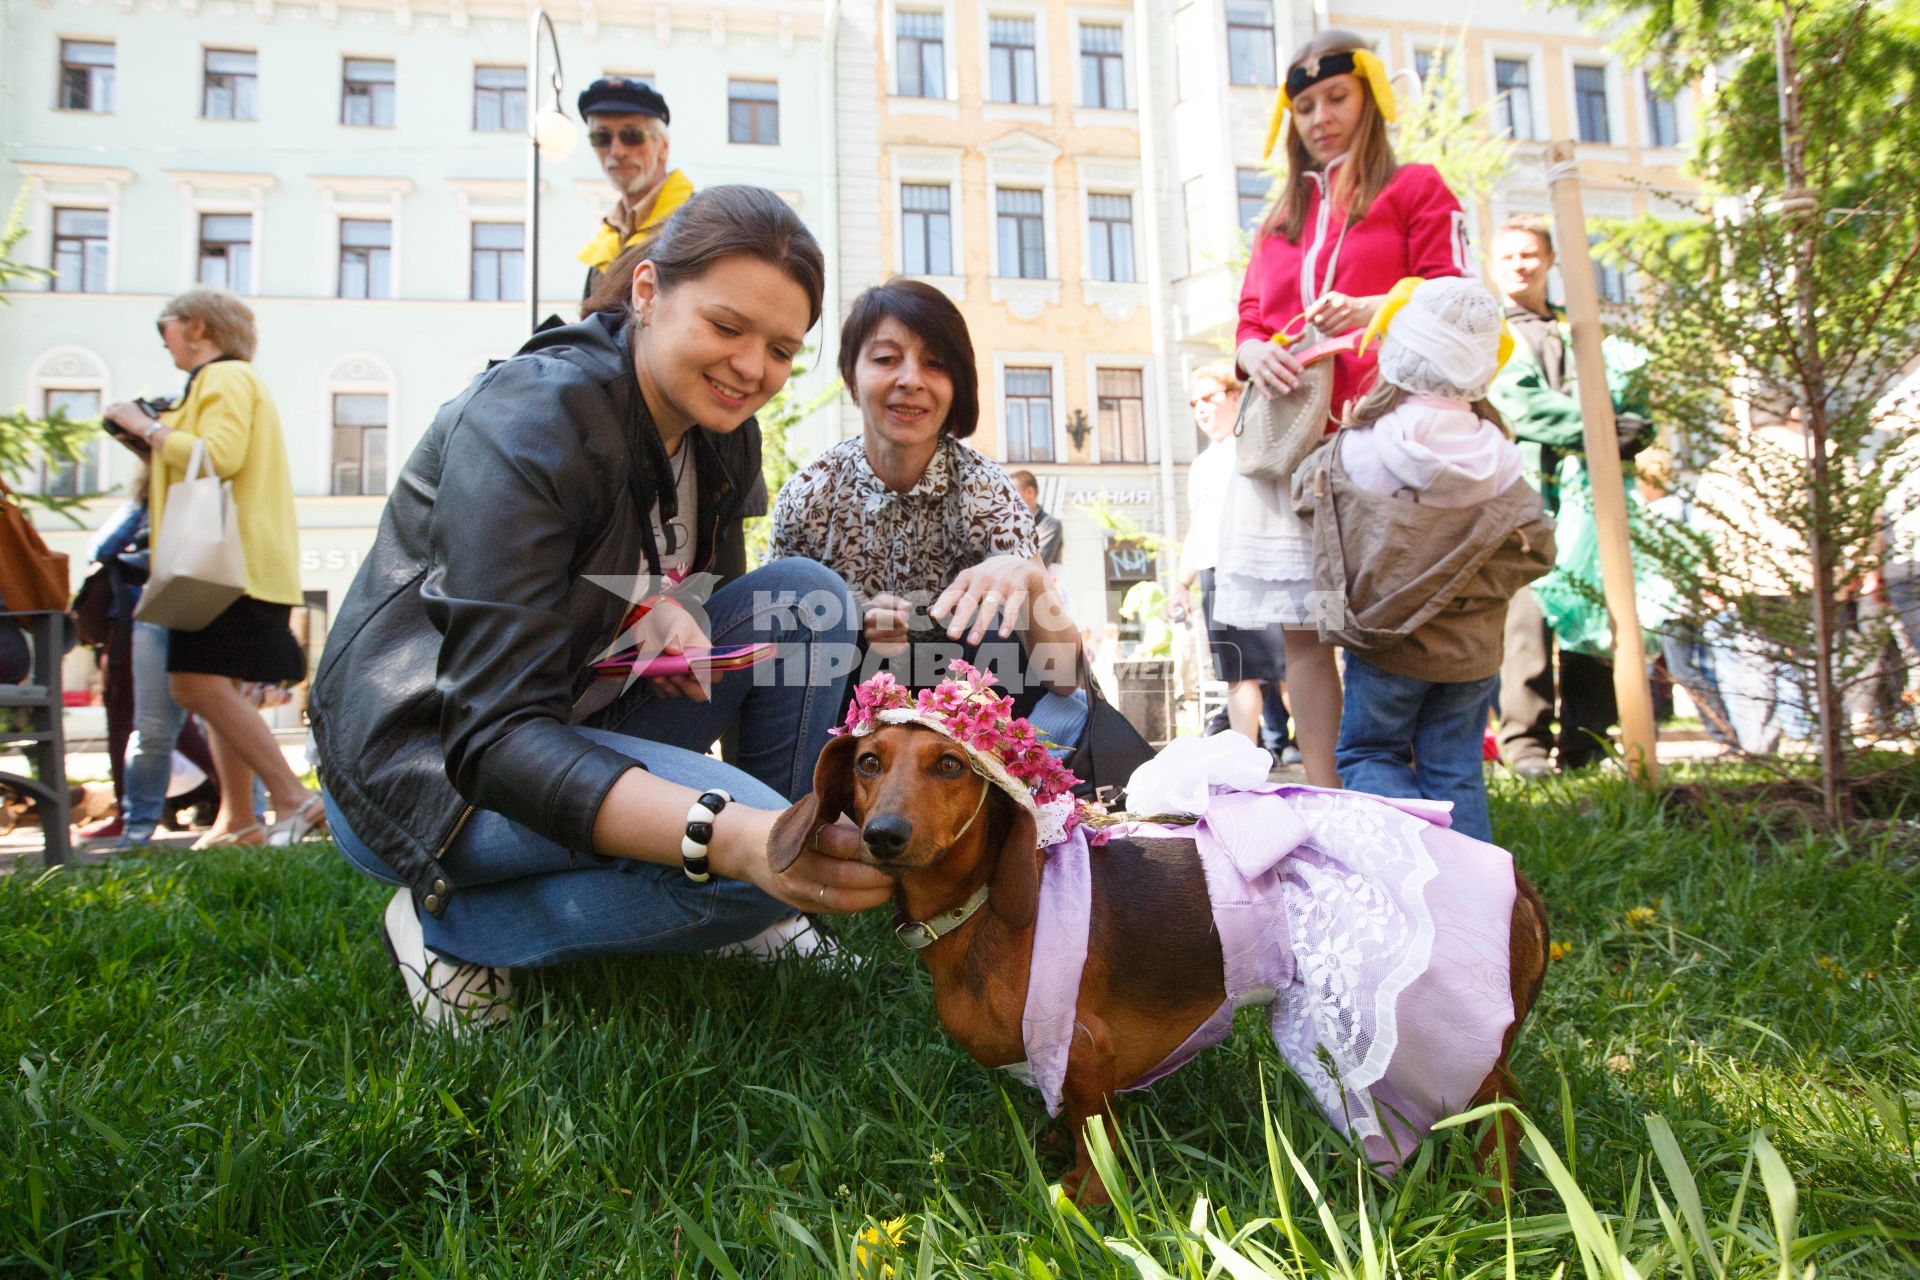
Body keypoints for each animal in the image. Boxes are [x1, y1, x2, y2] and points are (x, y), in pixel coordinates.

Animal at [764, 725, 1543, 1205]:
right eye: (868, 763)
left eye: (951, 764)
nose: (883, 835)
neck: (984, 910)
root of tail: (1517, 879)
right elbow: (1067, 1119)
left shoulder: (1086, 1049)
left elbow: (1093, 1141)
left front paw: (1087, 1201)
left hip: (1443, 1043)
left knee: (1502, 1105)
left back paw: (1495, 1191)